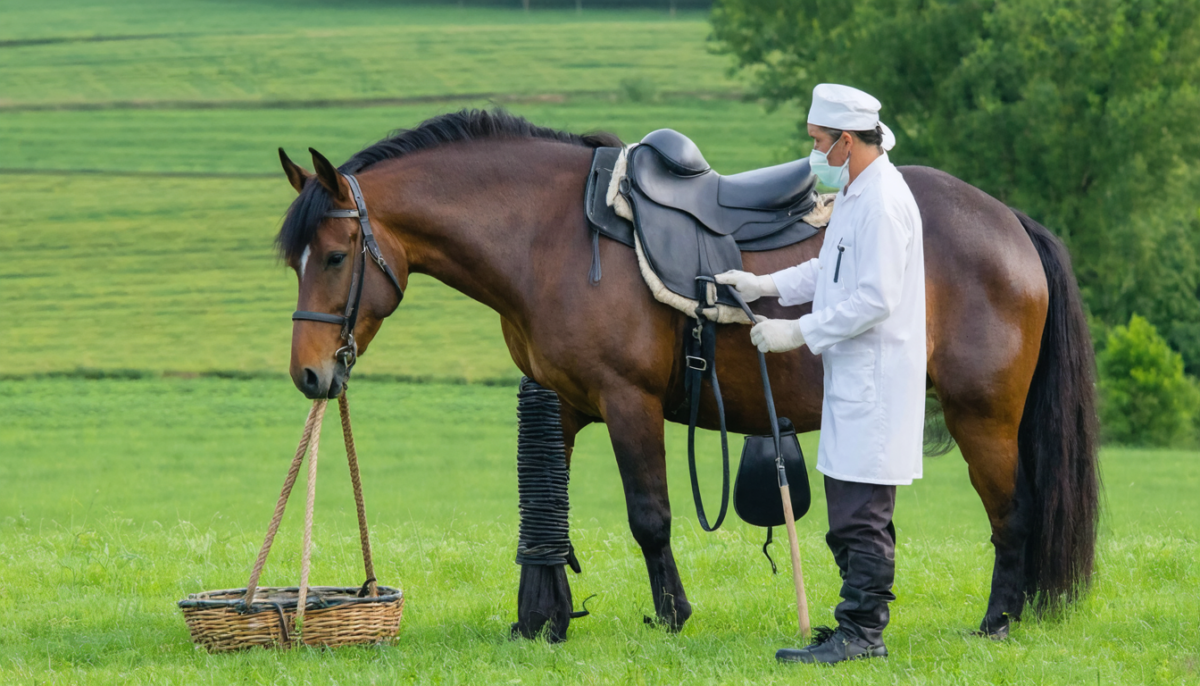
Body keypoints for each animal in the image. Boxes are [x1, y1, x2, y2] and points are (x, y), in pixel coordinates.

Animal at [275, 109, 1099, 640]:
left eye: (338, 256)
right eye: (296, 260)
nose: (310, 376)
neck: (547, 234)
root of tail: (1008, 221)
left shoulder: (627, 401)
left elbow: (650, 516)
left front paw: (672, 616)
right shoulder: (563, 404)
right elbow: (544, 515)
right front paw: (540, 619)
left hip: (981, 414)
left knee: (1012, 511)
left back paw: (997, 622)